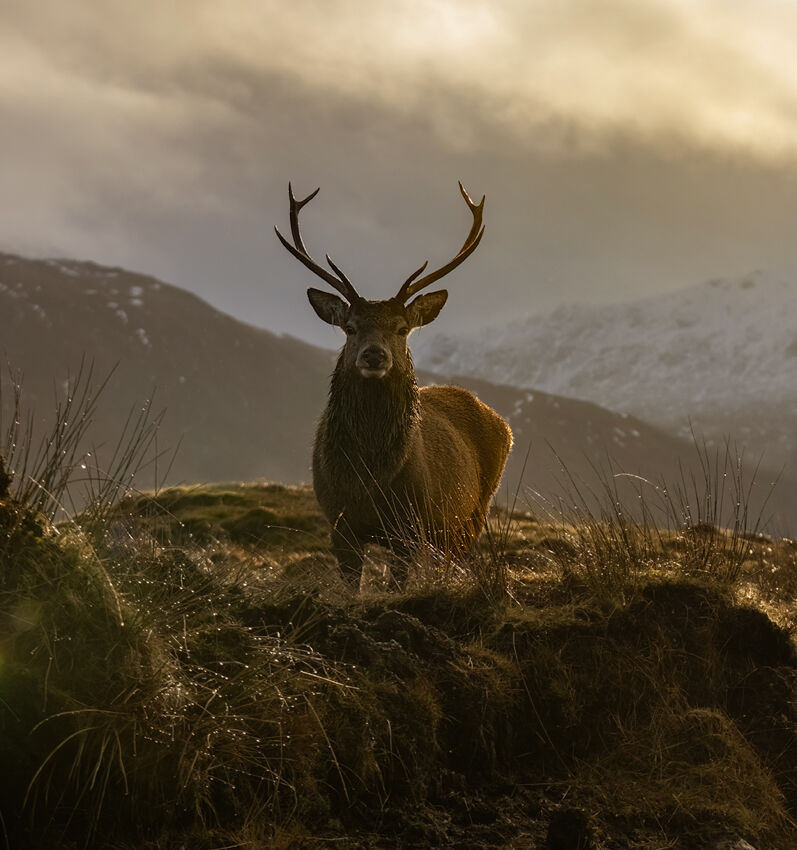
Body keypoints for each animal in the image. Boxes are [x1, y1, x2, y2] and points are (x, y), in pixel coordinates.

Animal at [275, 182, 513, 588]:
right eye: (350, 327)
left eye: (401, 329)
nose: (374, 355)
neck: (370, 480)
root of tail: (504, 426)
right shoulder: (339, 522)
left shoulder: (410, 525)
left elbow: (398, 584)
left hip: (471, 515)